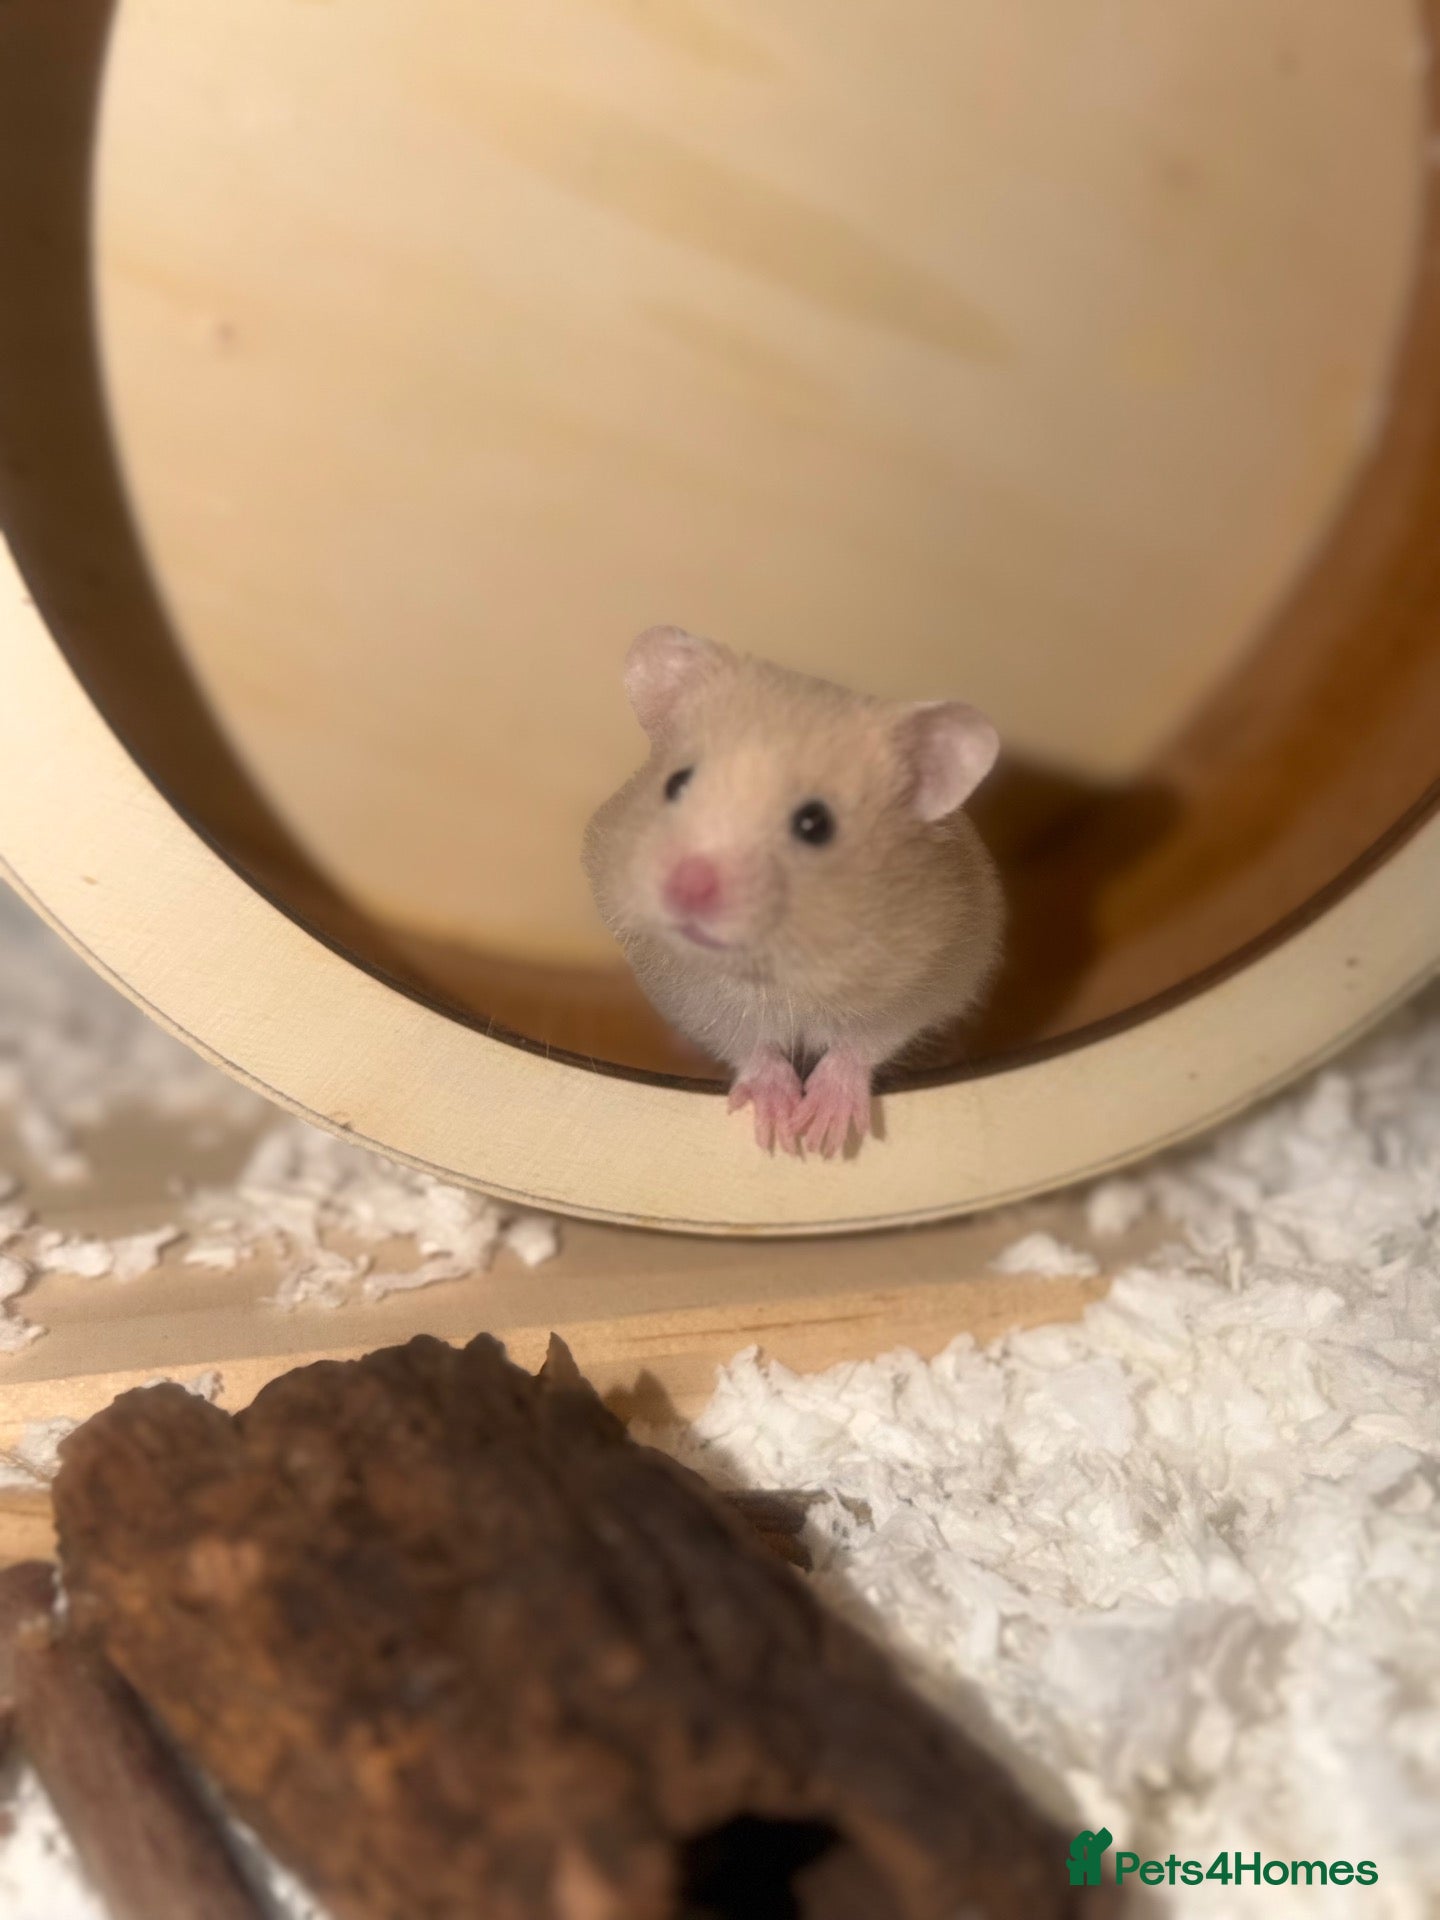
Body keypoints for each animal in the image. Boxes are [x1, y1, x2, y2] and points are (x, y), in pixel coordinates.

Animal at [582, 627, 1004, 1156]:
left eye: (815, 824)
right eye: (675, 784)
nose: (686, 888)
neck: (782, 973)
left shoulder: (930, 977)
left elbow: (862, 1042)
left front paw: (823, 1135)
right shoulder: (690, 994)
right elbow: (751, 1045)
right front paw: (780, 1133)